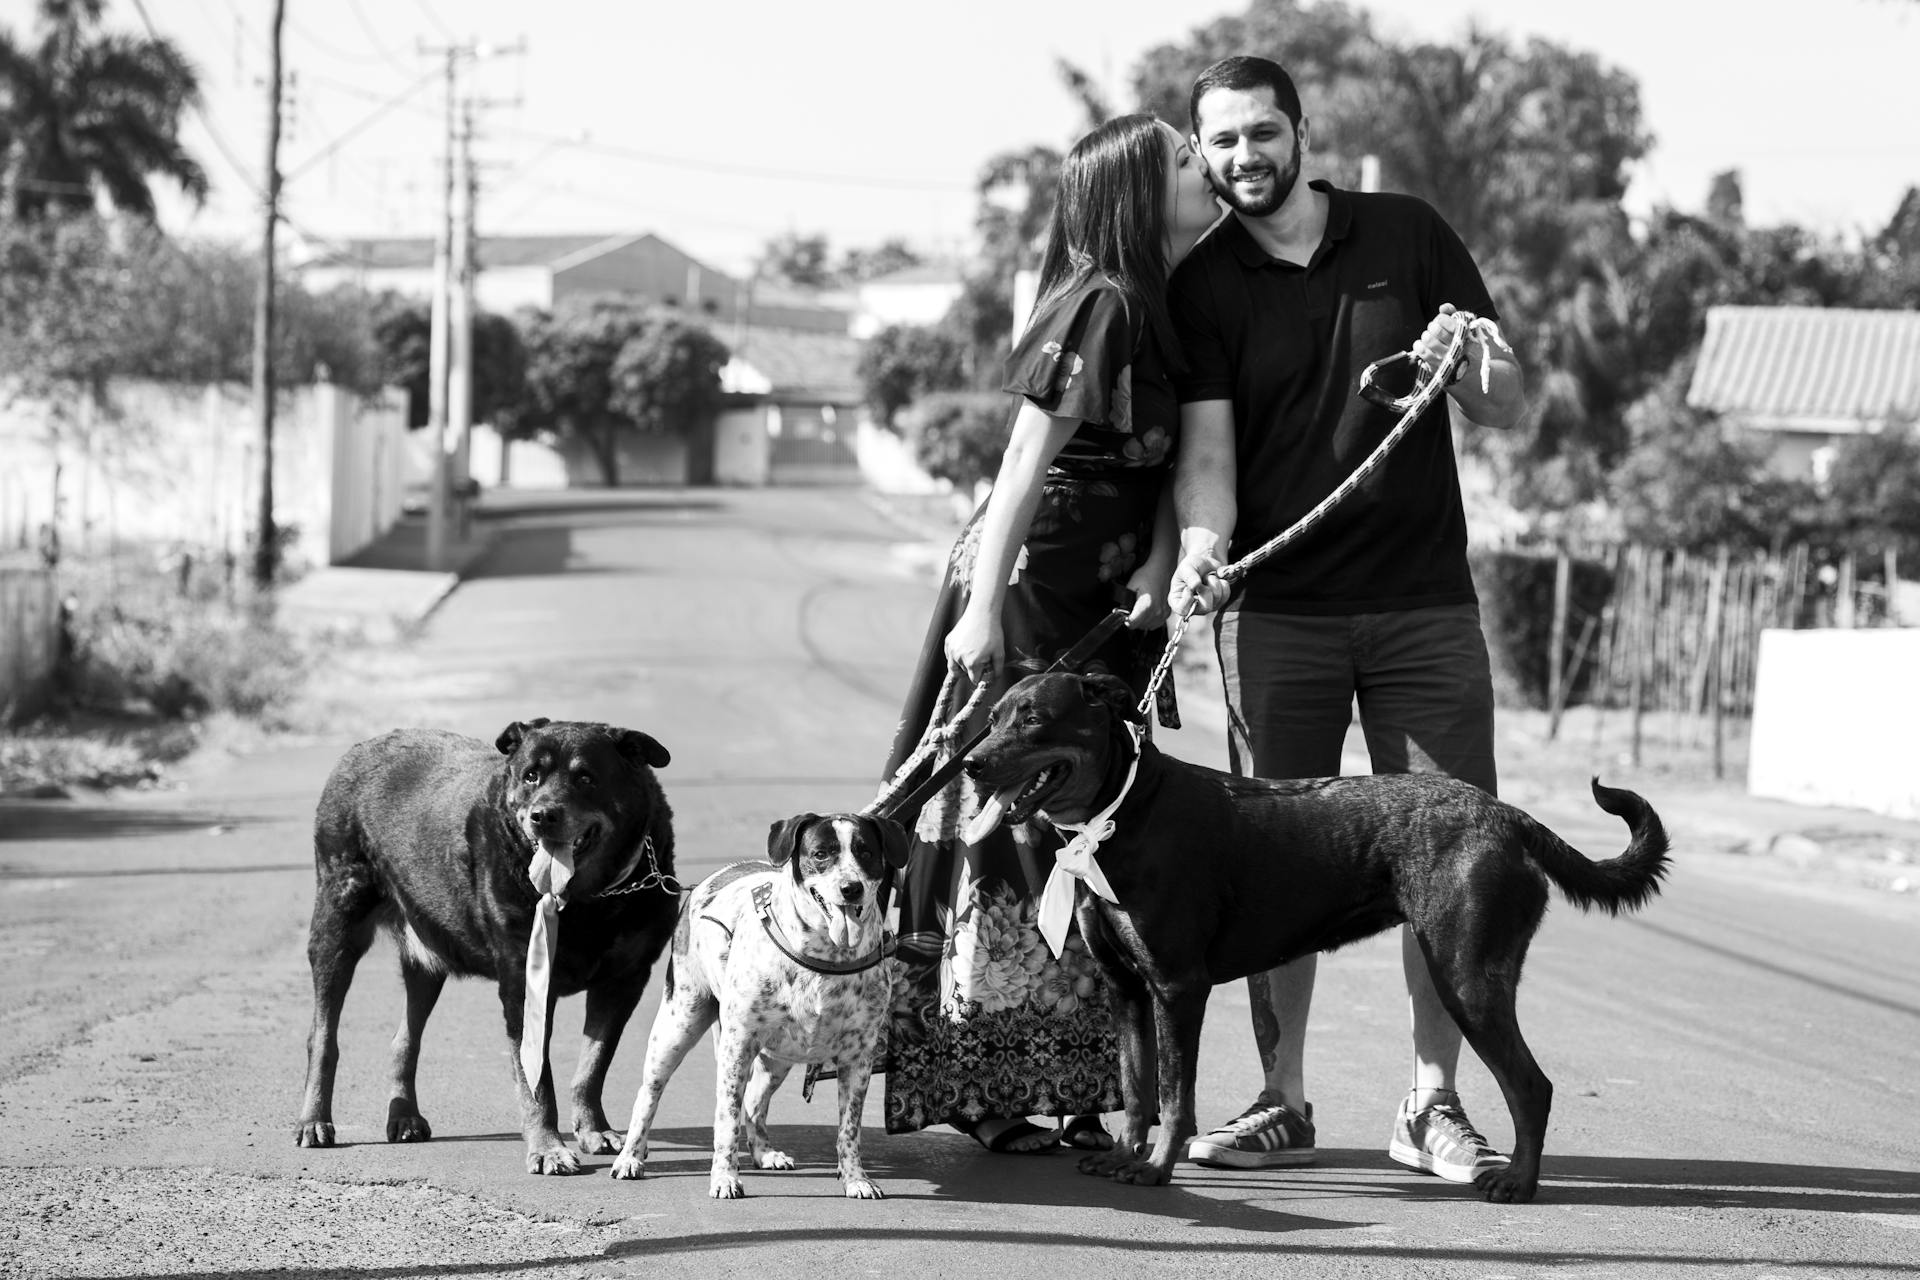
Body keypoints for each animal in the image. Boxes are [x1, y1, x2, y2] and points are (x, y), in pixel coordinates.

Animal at [299, 717, 683, 1174]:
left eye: (586, 777)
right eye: (531, 775)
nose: (542, 815)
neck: (588, 900)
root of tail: (360, 748)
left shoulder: (624, 981)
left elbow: (593, 1064)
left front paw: (593, 1129)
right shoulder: (524, 984)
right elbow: (537, 1080)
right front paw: (548, 1147)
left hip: (428, 956)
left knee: (405, 1037)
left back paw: (404, 1116)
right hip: (337, 923)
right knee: (323, 1036)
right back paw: (314, 1120)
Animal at [614, 809, 913, 1205]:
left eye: (866, 852)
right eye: (821, 854)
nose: (851, 888)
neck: (826, 958)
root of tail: (710, 879)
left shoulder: (858, 1059)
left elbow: (849, 1128)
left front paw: (855, 1179)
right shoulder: (738, 1046)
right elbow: (726, 1120)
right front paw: (725, 1178)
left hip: (778, 1056)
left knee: (755, 1102)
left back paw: (764, 1152)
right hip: (677, 1027)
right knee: (648, 1095)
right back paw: (630, 1156)